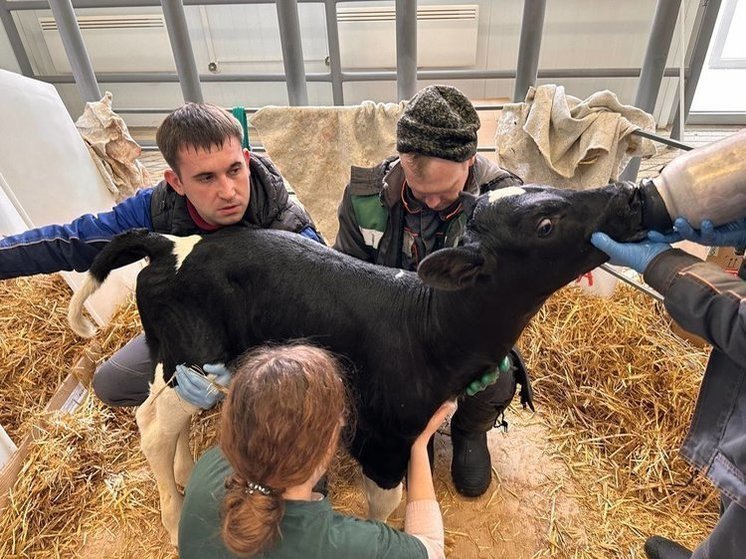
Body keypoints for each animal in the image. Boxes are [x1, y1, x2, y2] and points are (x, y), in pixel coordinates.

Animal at [68, 183, 644, 544]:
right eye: (545, 224)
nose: (627, 194)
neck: (432, 325)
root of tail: (172, 243)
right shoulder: (383, 438)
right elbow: (386, 505)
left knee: (171, 424)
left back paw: (186, 475)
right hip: (190, 357)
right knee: (152, 425)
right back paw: (171, 519)